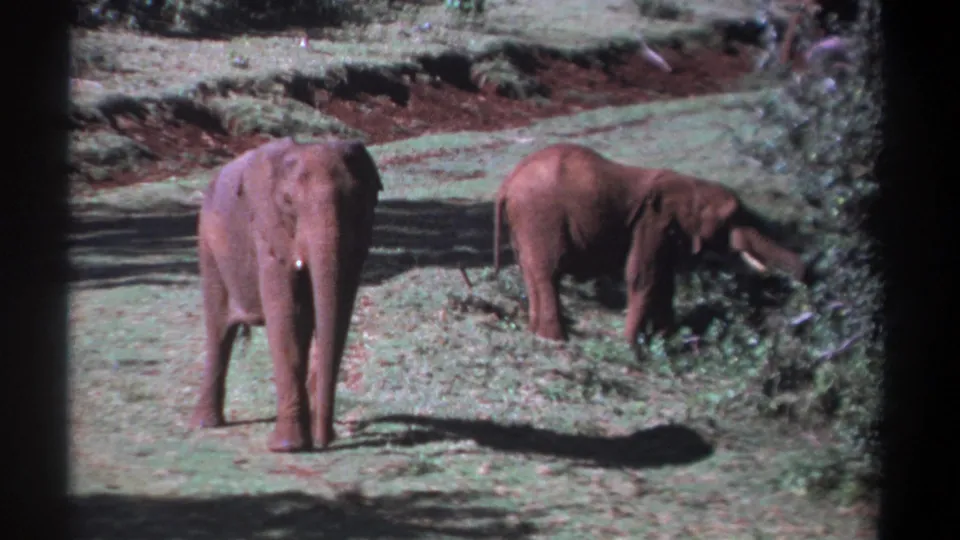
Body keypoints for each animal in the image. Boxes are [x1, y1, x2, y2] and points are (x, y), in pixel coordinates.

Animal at [190, 136, 382, 452]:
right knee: (219, 330)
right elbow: (286, 314)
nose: (325, 442)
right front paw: (287, 447)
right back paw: (205, 424)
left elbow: (337, 308)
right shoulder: (268, 230)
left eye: (356, 200)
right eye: (289, 202)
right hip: (208, 244)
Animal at [492, 143, 807, 345]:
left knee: (532, 271)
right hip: (541, 215)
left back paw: (539, 334)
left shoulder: (666, 230)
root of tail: (508, 182)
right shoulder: (653, 222)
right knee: (548, 272)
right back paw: (556, 340)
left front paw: (668, 341)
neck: (689, 185)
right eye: (732, 217)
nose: (805, 275)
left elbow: (665, 282)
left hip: (526, 221)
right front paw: (632, 346)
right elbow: (644, 276)